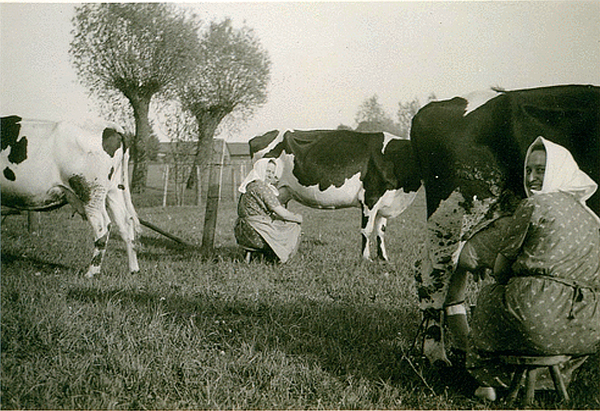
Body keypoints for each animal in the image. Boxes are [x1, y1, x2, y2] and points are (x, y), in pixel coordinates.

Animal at [0, 114, 141, 278]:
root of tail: (109, 126)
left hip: (90, 191)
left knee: (103, 226)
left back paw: (92, 272)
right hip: (113, 190)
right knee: (125, 223)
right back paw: (133, 269)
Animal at [248, 129, 422, 260]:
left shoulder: (385, 202)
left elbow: (381, 231)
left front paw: (383, 258)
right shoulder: (370, 198)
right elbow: (366, 230)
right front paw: (365, 258)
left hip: (283, 193)